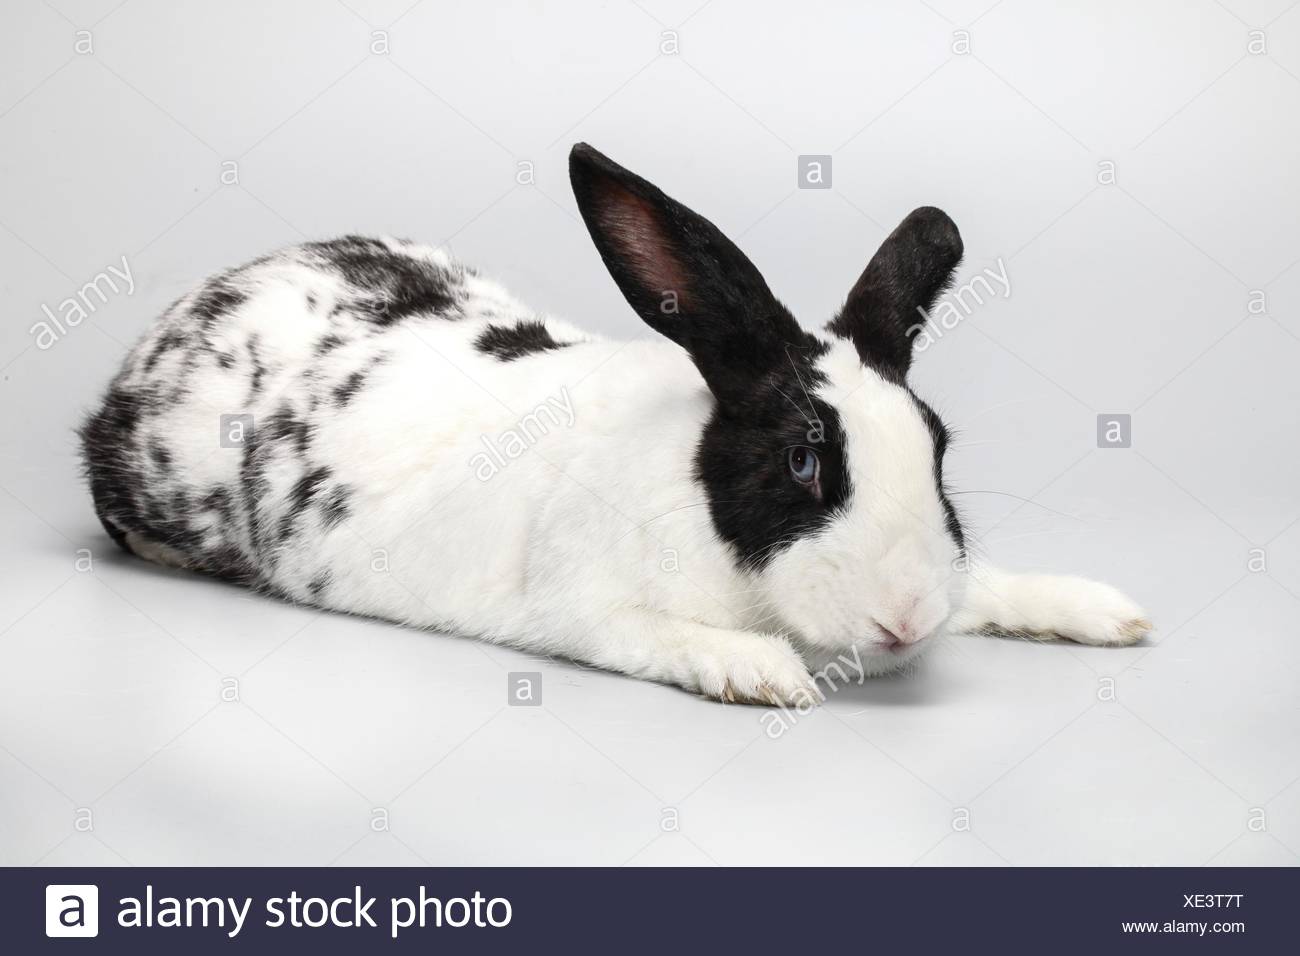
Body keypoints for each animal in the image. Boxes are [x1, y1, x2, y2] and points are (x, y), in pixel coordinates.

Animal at [80, 143, 1151, 705]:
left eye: (939, 449)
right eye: (803, 462)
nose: (908, 617)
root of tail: (185, 312)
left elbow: (994, 584)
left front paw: (1105, 612)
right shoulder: (587, 613)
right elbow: (662, 637)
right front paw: (766, 676)